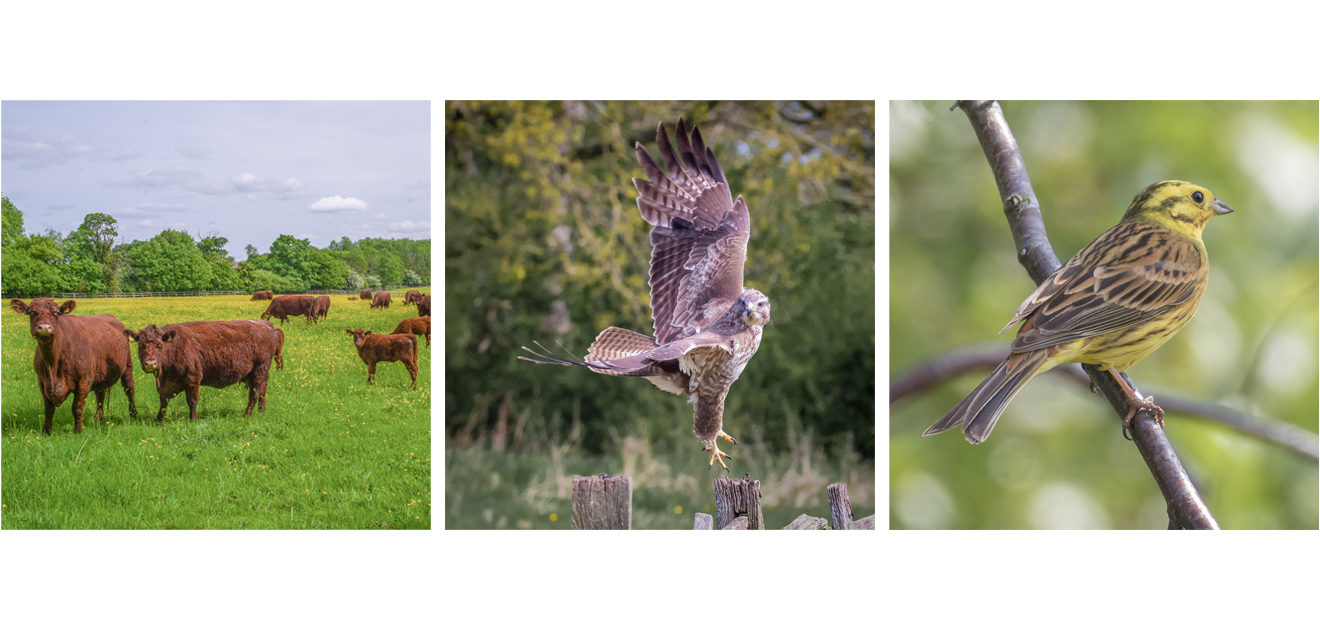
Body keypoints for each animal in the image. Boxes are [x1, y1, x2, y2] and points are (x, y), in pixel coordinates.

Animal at [9, 298, 138, 433]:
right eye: (31, 312)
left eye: (57, 313)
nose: (44, 327)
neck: (52, 366)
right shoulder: (42, 381)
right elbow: (48, 408)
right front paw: (46, 431)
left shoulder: (84, 379)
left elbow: (77, 407)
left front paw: (78, 430)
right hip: (100, 372)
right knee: (100, 394)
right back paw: (98, 418)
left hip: (127, 365)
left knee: (129, 388)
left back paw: (133, 415)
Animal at [124, 319, 283, 422]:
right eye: (141, 345)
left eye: (159, 344)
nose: (150, 363)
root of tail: (267, 325)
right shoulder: (165, 384)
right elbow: (163, 401)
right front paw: (158, 419)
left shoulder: (193, 378)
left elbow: (192, 401)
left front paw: (193, 419)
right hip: (260, 373)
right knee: (262, 391)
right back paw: (261, 411)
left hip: (259, 371)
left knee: (254, 394)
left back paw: (246, 415)